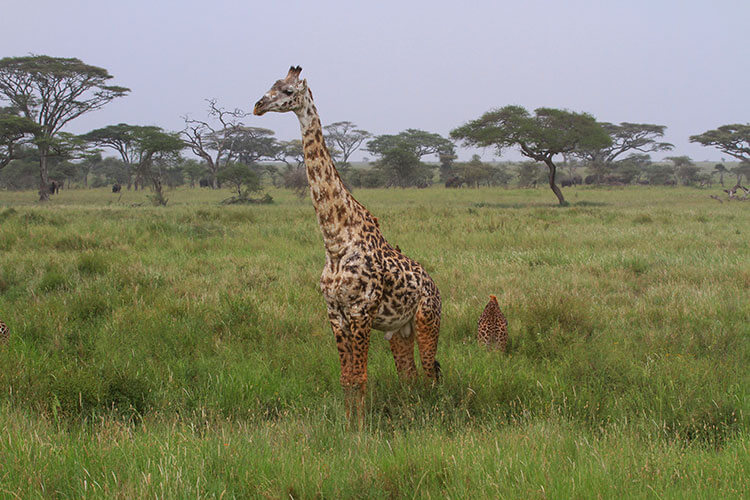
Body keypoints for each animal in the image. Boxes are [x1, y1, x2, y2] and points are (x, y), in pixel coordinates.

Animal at [254, 64, 440, 420]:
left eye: (288, 91)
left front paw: (360, 425)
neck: (335, 241)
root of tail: (434, 285)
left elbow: (360, 377)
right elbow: (346, 378)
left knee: (431, 371)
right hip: (399, 331)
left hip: (427, 319)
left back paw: (434, 410)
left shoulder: (361, 311)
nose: (258, 105)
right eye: (271, 85)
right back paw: (412, 409)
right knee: (409, 374)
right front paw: (347, 421)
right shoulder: (335, 312)